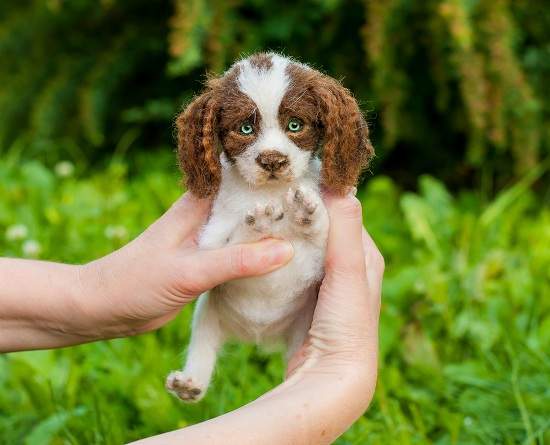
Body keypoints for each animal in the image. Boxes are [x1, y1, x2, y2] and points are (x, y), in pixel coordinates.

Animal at [167, 53, 376, 402]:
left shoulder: (322, 256)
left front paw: (305, 214)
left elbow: (320, 232)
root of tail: (260, 337)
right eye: (245, 128)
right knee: (203, 346)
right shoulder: (210, 242)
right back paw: (190, 383)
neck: (270, 192)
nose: (272, 160)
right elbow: (233, 240)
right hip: (207, 313)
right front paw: (259, 224)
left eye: (295, 125)